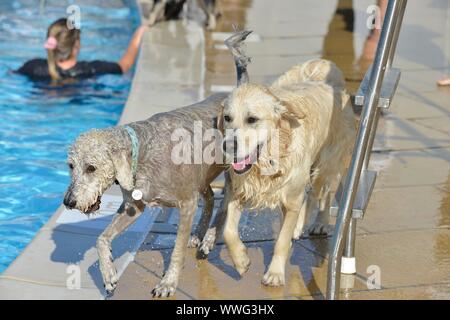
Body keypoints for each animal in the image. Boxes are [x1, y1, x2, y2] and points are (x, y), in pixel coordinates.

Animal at [62, 30, 251, 298]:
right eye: (71, 166)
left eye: (91, 167)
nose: (68, 202)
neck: (142, 152)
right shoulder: (134, 206)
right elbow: (101, 239)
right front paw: (109, 275)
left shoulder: (186, 204)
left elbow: (177, 251)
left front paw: (168, 283)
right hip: (202, 177)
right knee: (210, 199)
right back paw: (199, 235)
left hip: (232, 171)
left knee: (223, 206)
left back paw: (208, 240)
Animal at [216, 58, 356, 288]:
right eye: (227, 118)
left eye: (252, 119)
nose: (228, 146)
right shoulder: (239, 190)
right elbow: (228, 230)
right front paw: (241, 260)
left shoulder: (291, 198)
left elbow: (281, 240)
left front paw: (275, 273)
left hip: (326, 162)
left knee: (320, 193)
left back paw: (317, 223)